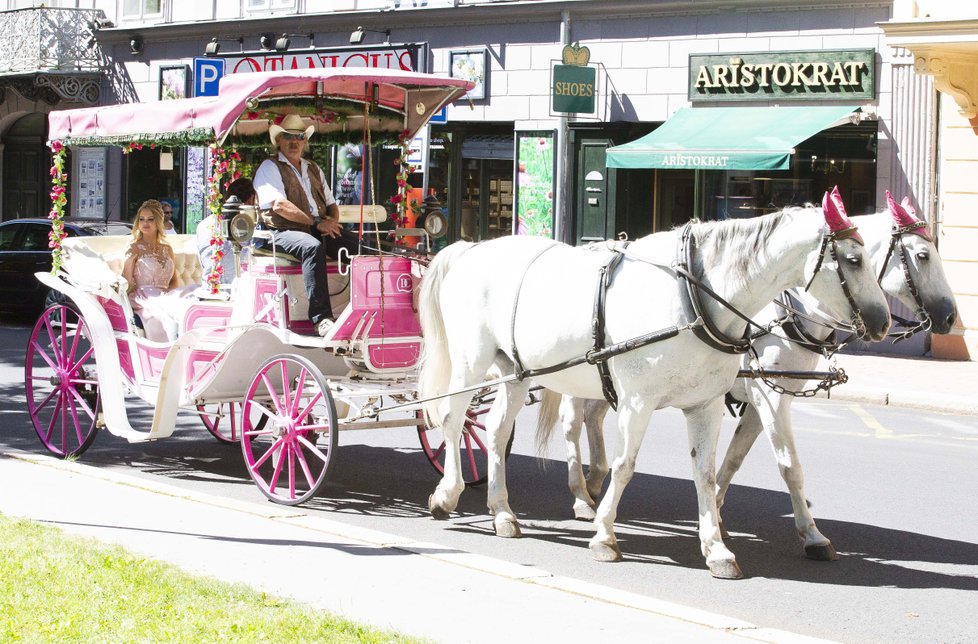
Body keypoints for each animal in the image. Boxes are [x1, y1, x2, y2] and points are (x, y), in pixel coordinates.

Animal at [420, 191, 892, 580]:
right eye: (853, 260)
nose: (883, 321)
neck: (695, 298)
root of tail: (470, 247)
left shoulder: (706, 404)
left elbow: (707, 473)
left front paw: (716, 547)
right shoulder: (639, 402)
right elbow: (626, 465)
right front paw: (605, 534)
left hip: (517, 371)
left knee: (497, 432)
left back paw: (502, 512)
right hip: (471, 362)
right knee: (453, 418)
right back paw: (449, 493)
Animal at [532, 191, 952, 564]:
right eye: (922, 255)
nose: (950, 316)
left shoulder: (758, 400)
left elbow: (732, 459)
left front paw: (714, 516)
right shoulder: (770, 397)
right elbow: (789, 466)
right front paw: (812, 535)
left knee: (593, 417)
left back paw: (595, 481)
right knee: (572, 422)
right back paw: (581, 496)